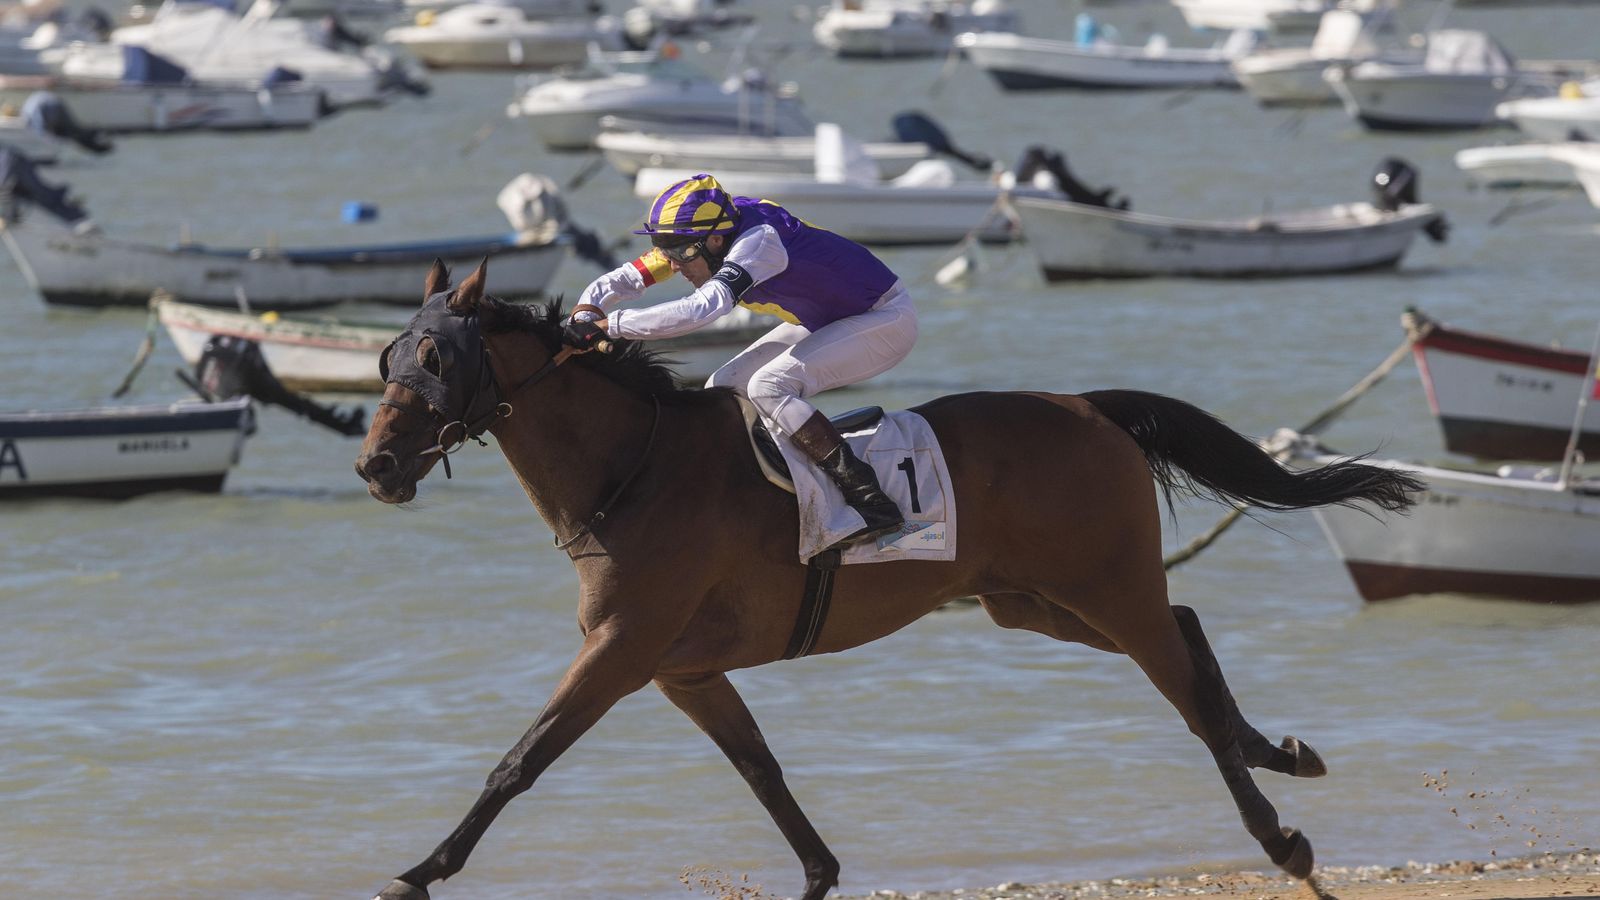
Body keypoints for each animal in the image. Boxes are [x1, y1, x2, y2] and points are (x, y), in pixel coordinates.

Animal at [354, 260, 1422, 900]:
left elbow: (520, 760)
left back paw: (1280, 836)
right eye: (387, 355)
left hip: (1106, 586)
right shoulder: (681, 668)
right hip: (1031, 602)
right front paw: (821, 871)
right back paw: (1281, 752)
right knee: (1192, 629)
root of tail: (1089, 406)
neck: (634, 467)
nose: (377, 466)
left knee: (1184, 684)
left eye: (437, 357)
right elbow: (762, 771)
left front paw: (419, 869)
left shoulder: (623, 651)